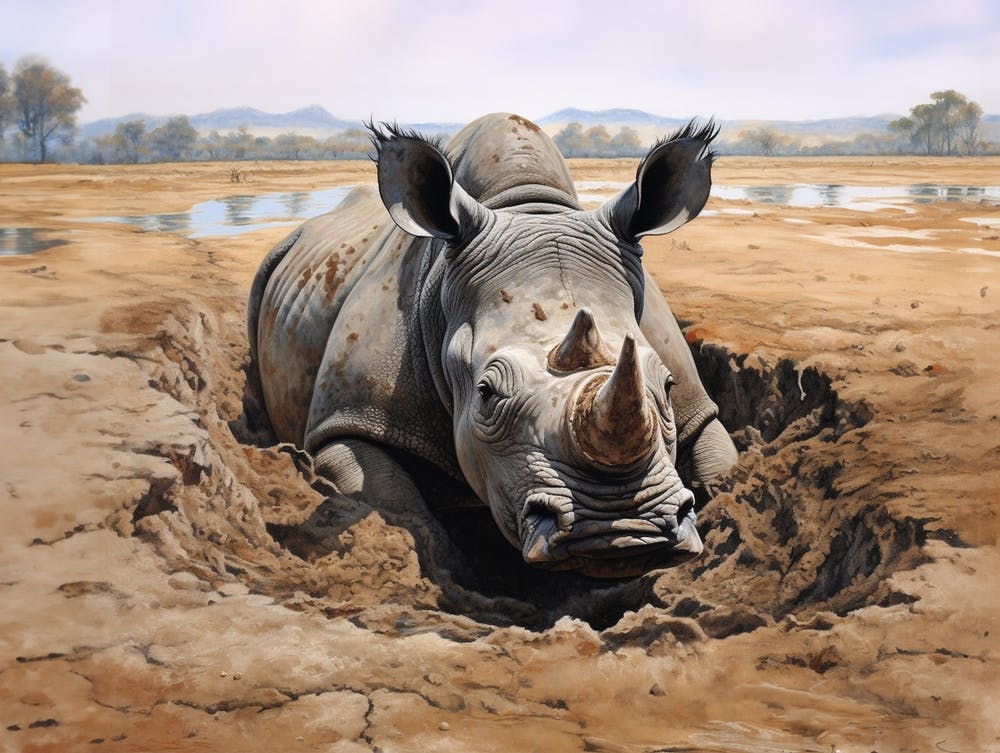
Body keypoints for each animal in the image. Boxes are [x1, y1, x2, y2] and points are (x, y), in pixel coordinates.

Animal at [248, 113, 737, 577]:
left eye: (669, 386)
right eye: (485, 393)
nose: (620, 532)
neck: (530, 208)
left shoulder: (692, 402)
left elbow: (718, 456)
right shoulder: (347, 417)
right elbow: (392, 500)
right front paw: (455, 570)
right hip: (278, 260)